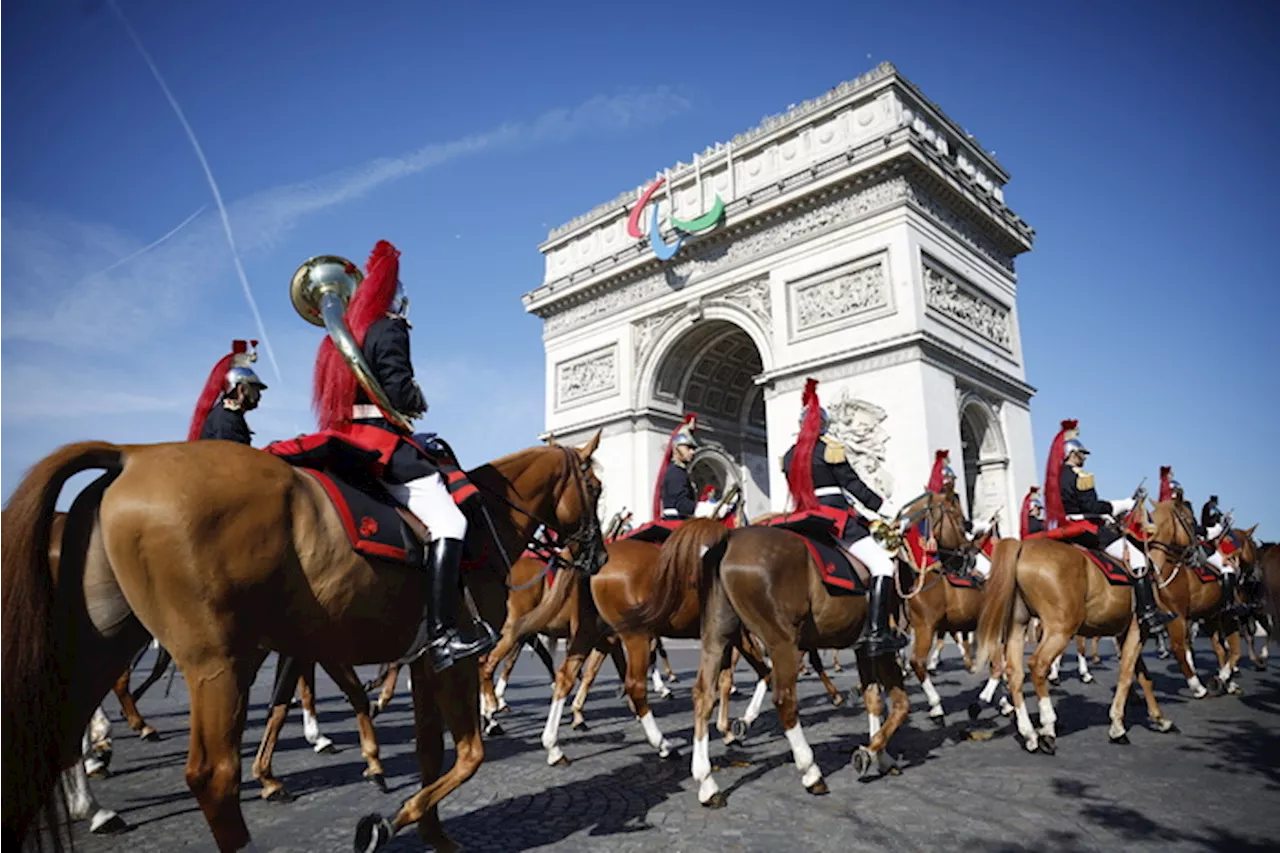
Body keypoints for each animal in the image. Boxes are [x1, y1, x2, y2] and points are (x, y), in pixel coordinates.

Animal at [0, 432, 604, 850]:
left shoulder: (419, 661)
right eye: (595, 487)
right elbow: (470, 753)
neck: (481, 523)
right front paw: (389, 813)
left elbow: (431, 753)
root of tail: (133, 454)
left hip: (104, 647)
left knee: (56, 734)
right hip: (219, 662)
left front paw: (429, 831)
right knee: (213, 777)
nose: (597, 556)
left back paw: (97, 797)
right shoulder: (449, 659)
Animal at [624, 517, 916, 804]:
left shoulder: (863, 648)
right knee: (784, 699)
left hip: (717, 637)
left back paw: (707, 782)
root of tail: (728, 540)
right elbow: (901, 704)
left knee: (704, 695)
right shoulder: (883, 645)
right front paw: (872, 751)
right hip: (781, 642)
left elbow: (874, 700)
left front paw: (879, 752)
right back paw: (810, 771)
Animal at [972, 532, 1172, 753]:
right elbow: (1127, 675)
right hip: (1060, 629)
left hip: (1018, 625)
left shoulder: (1124, 633)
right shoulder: (1138, 630)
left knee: (1014, 672)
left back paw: (1029, 733)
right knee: (1038, 665)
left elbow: (1144, 677)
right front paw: (1118, 726)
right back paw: (1047, 727)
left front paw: (1160, 718)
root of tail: (1022, 548)